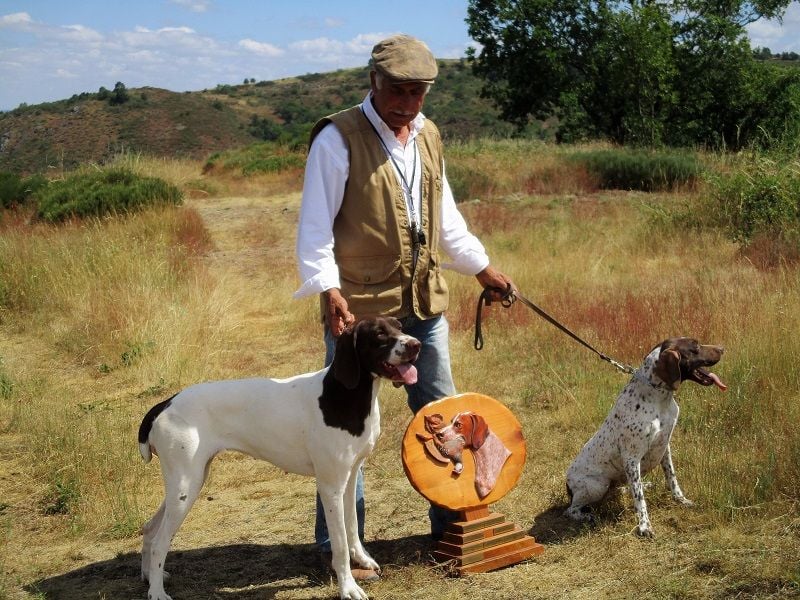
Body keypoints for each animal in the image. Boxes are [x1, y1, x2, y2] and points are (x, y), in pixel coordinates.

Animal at [136, 316, 424, 596]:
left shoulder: (351, 476)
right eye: (379, 334)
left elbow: (352, 526)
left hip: (186, 484)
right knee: (160, 543)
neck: (344, 394)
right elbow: (340, 545)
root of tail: (164, 404)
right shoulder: (330, 486)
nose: (416, 345)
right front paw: (348, 587)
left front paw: (362, 560)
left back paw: (150, 576)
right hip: (187, 485)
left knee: (149, 530)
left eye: (399, 326)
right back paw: (157, 592)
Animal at [564, 338, 728, 540]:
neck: (659, 398)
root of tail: (567, 484)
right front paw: (644, 526)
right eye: (695, 347)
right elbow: (640, 499)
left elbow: (672, 479)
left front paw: (681, 500)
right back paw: (587, 516)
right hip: (597, 485)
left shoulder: (665, 446)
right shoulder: (632, 458)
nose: (722, 348)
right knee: (571, 510)